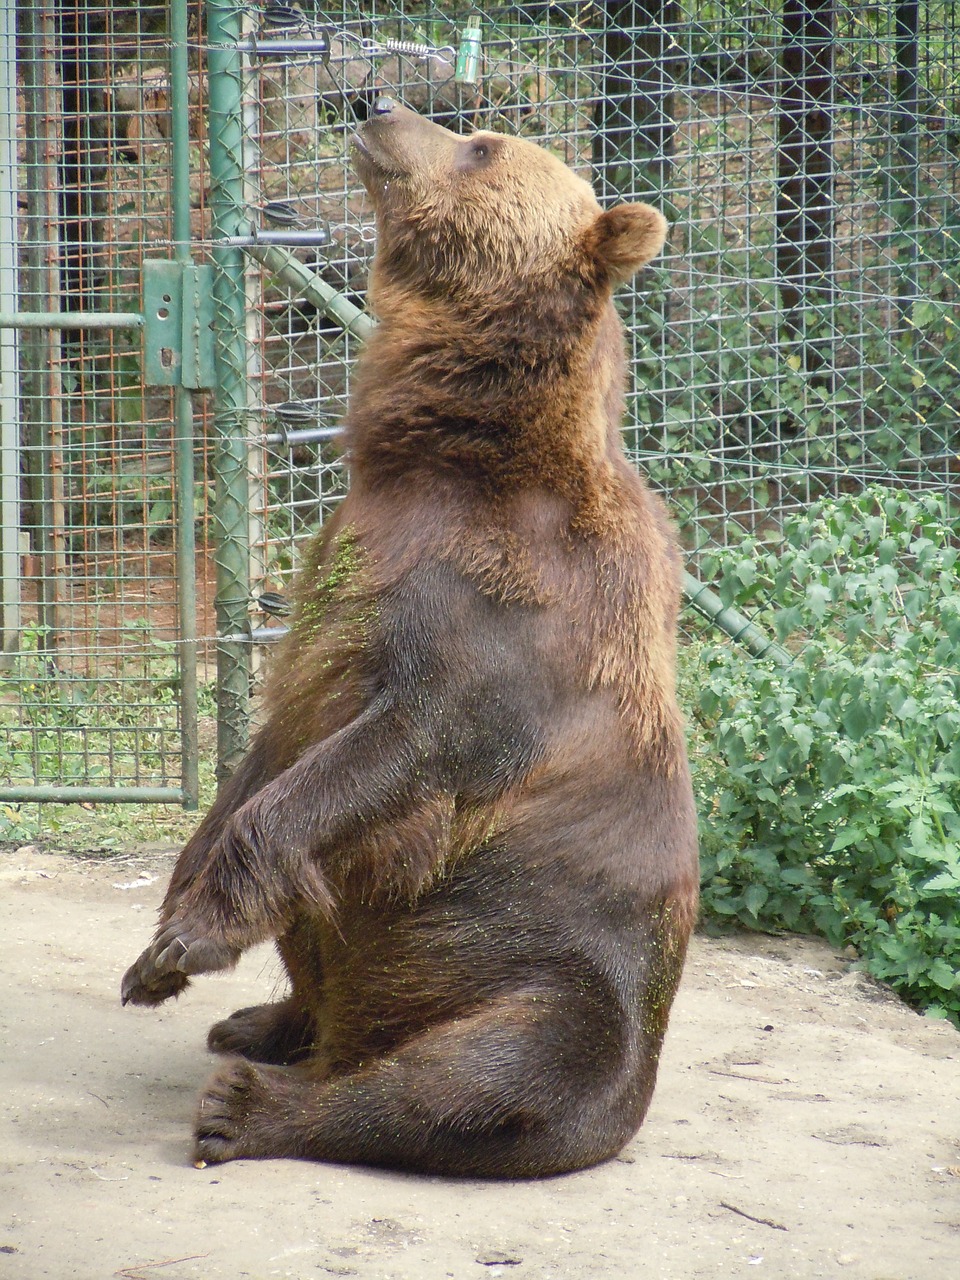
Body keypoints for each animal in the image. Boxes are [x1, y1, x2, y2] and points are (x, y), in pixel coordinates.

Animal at [126, 99, 701, 1177]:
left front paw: (194, 938)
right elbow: (270, 748)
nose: (378, 106)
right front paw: (160, 948)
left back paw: (248, 1106)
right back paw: (264, 1022)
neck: (456, 456)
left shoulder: (498, 628)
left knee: (473, 1078)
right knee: (328, 963)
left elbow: (381, 756)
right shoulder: (341, 590)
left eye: (481, 147)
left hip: (550, 983)